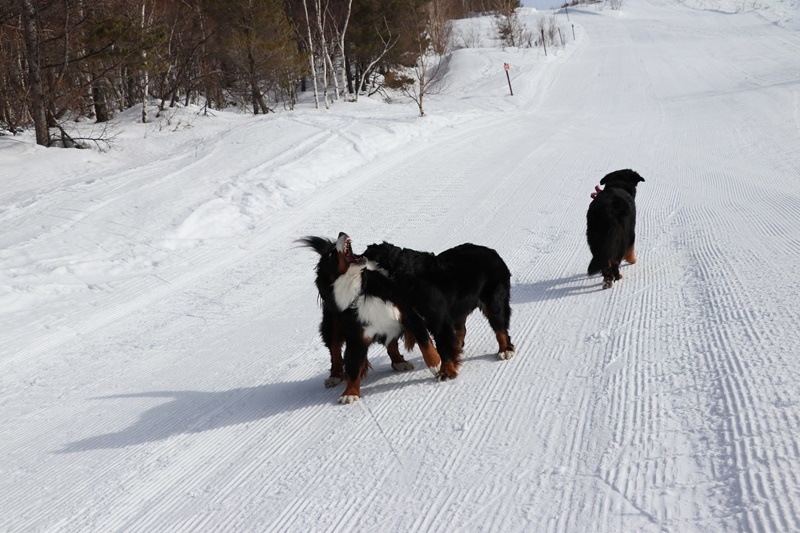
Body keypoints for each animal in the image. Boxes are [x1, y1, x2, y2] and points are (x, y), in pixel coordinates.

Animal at [296, 233, 440, 404]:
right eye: (331, 254)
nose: (341, 233)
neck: (359, 291)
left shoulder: (408, 314)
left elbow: (425, 343)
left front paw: (438, 366)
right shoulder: (356, 336)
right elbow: (352, 366)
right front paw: (350, 393)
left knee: (391, 343)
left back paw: (400, 362)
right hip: (331, 325)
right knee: (335, 351)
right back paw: (334, 376)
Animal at [360, 237, 516, 378]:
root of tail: (493, 252)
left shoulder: (437, 319)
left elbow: (443, 346)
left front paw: (446, 371)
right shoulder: (411, 317)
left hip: (493, 301)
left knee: (500, 328)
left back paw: (505, 350)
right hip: (458, 308)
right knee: (461, 330)